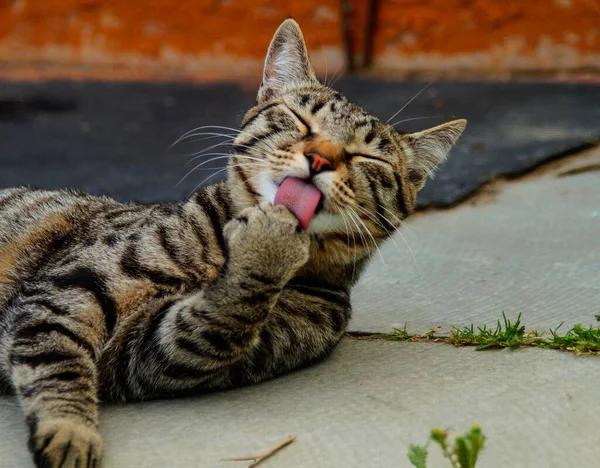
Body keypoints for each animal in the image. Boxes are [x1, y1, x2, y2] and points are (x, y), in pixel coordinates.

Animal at [0, 18, 466, 468]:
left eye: (368, 157)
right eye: (299, 119)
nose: (319, 158)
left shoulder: (151, 353)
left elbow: (218, 319)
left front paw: (266, 247)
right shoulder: (70, 287)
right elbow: (58, 361)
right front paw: (70, 430)